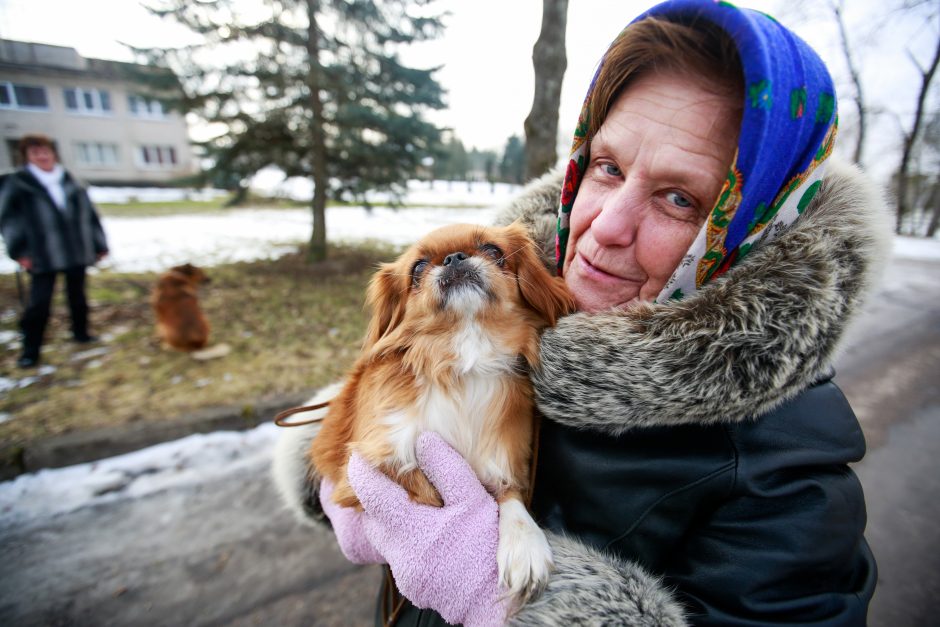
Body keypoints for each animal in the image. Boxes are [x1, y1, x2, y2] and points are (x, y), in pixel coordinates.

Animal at [310, 224, 572, 604]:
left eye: (493, 250)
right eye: (418, 268)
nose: (454, 258)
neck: (462, 357)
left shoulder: (504, 457)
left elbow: (508, 495)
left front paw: (524, 544)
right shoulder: (370, 464)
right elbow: (420, 488)